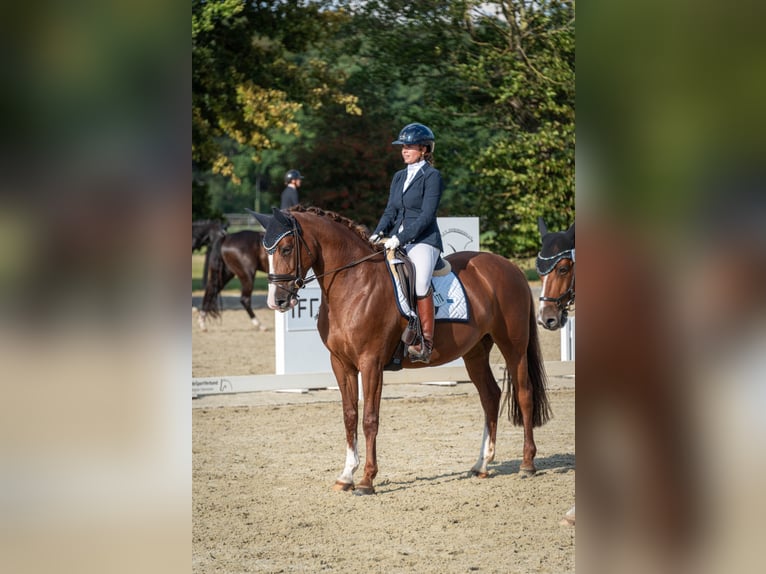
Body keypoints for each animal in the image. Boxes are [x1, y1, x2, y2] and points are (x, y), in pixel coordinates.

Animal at [250, 205, 551, 495]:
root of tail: (510, 267)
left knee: (524, 394)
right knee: (490, 396)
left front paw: (367, 481)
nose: (277, 301)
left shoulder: (371, 363)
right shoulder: (341, 364)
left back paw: (527, 464)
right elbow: (350, 416)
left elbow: (370, 419)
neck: (354, 284)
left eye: (286, 248)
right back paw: (482, 465)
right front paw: (346, 476)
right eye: (266, 251)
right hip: (475, 352)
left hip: (513, 346)